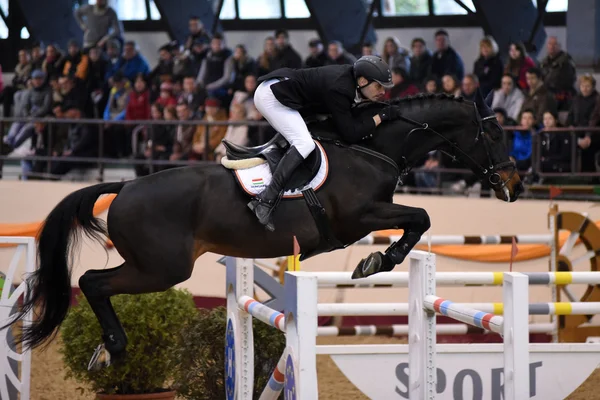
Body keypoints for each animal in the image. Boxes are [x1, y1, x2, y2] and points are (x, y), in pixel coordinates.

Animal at [5, 90, 520, 368]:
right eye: (495, 134)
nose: (515, 184)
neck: (373, 146)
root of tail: (127, 184)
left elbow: (418, 219)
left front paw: (377, 260)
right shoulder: (361, 218)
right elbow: (420, 217)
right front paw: (378, 260)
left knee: (94, 284)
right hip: (161, 269)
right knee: (93, 282)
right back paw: (113, 348)